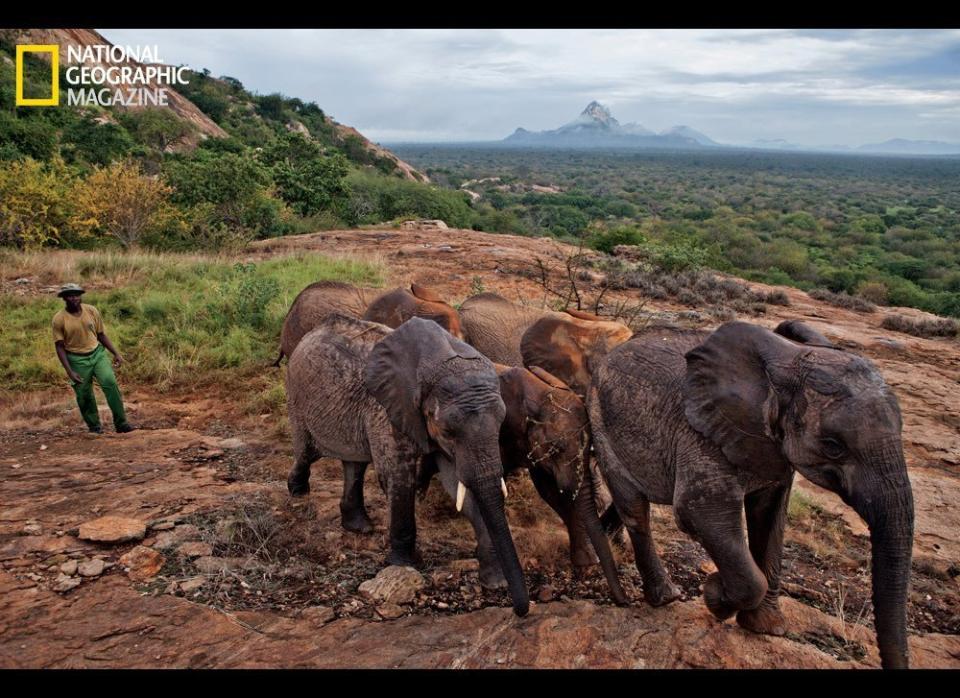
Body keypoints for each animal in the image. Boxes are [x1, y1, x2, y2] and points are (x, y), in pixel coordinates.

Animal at [284, 312, 532, 612]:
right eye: (448, 430)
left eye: (501, 425)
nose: (520, 610)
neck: (440, 357)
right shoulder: (387, 408)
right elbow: (398, 477)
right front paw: (403, 565)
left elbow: (459, 484)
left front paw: (495, 580)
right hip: (297, 394)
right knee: (306, 451)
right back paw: (298, 491)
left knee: (354, 463)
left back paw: (359, 526)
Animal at [588, 320, 920, 668]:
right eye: (833, 446)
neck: (787, 362)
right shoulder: (702, 430)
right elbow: (699, 512)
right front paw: (715, 596)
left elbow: (769, 516)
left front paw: (766, 628)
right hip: (600, 416)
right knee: (635, 506)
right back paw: (666, 598)